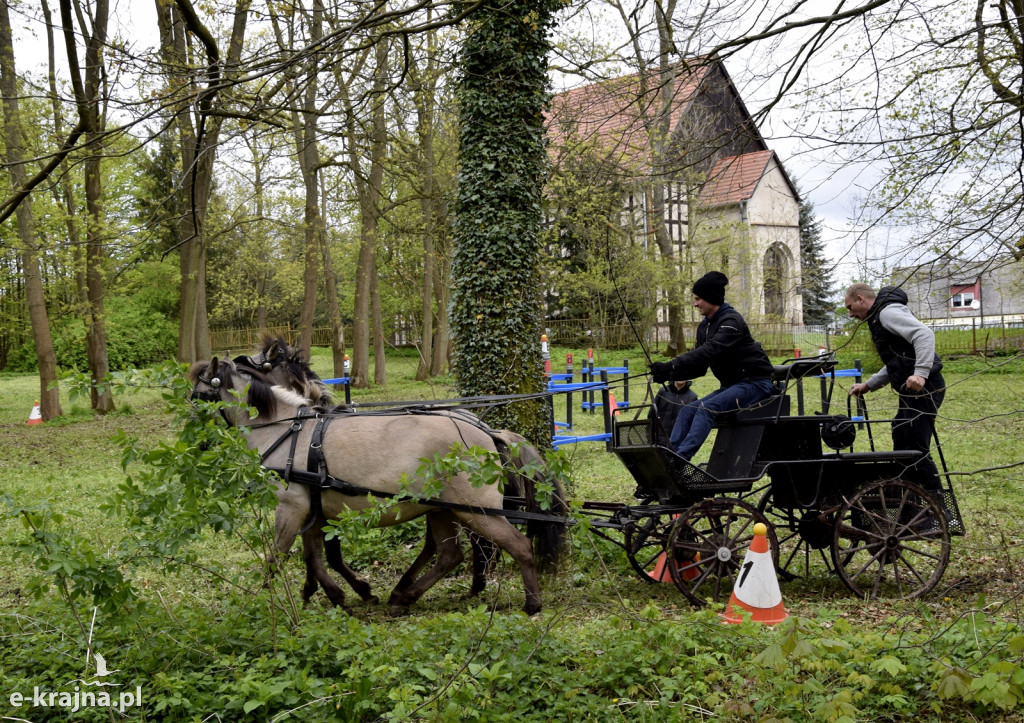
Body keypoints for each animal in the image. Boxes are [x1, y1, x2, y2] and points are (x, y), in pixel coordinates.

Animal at [188, 352, 565, 610]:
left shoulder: (291, 507)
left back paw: (531, 604)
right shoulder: (314, 510)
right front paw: (335, 593)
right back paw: (405, 596)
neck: (288, 430)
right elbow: (314, 556)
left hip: (475, 511)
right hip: (442, 509)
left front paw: (262, 601)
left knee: (517, 545)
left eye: (198, 396)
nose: (193, 439)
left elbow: (278, 555)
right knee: (449, 555)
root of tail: (487, 432)